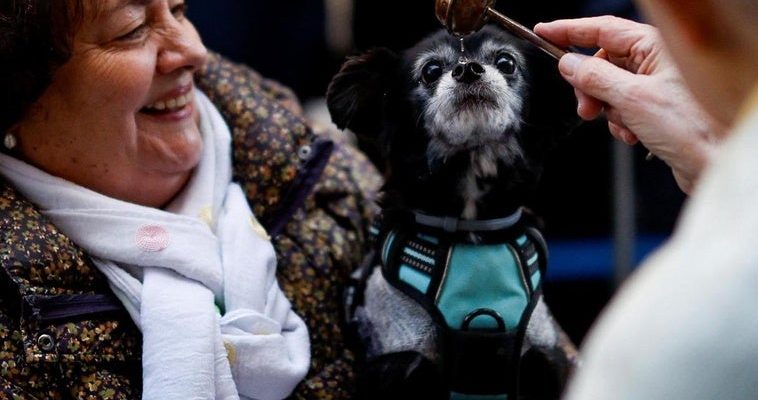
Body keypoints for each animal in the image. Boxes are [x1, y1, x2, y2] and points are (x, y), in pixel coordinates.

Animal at [330, 25, 580, 400]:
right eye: (431, 70)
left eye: (506, 62)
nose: (467, 69)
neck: (472, 228)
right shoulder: (397, 364)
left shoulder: (545, 358)